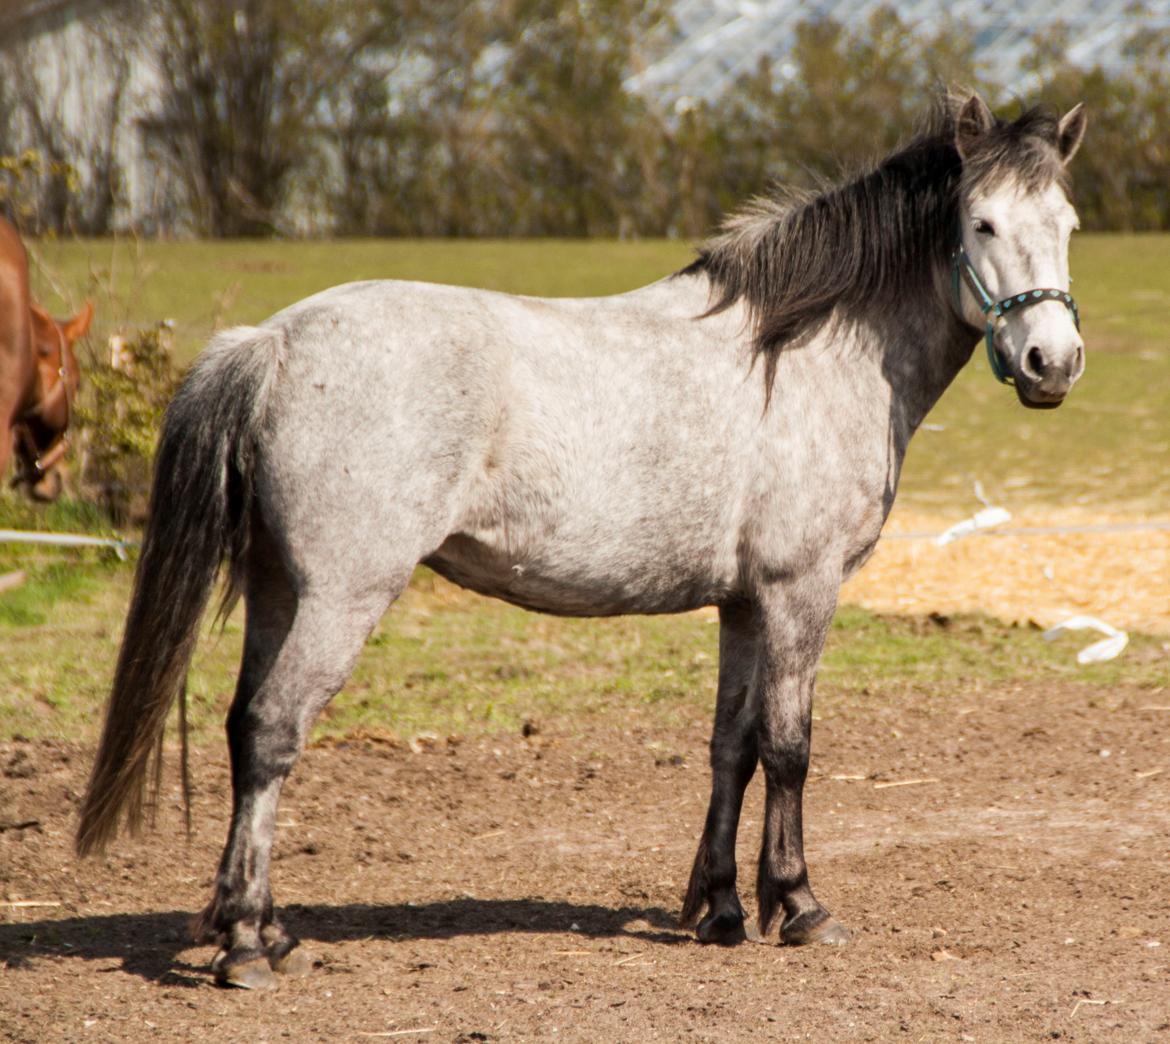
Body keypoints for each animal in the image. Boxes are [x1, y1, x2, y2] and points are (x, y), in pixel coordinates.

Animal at [80, 91, 1085, 987]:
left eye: (1068, 224)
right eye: (983, 223)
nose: (1054, 363)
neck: (803, 351)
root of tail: (272, 343)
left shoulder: (742, 604)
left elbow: (731, 746)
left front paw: (721, 909)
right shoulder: (800, 591)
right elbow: (790, 747)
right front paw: (799, 906)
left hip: (278, 590)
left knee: (241, 727)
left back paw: (262, 930)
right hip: (341, 597)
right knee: (271, 732)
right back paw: (249, 948)